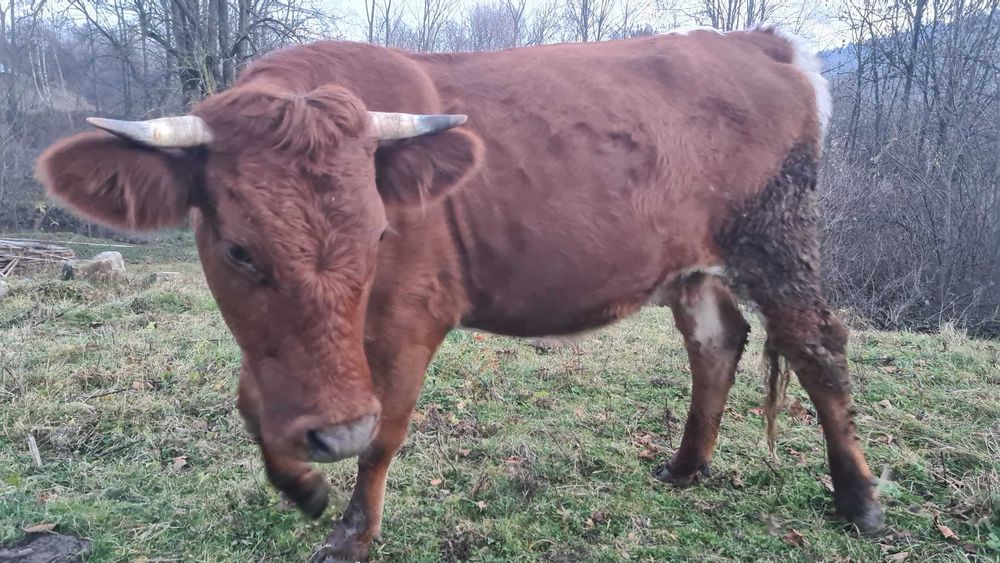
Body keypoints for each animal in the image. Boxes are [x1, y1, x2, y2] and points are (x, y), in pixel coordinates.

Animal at [36, 24, 884, 560]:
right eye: (239, 248)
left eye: (381, 232)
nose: (331, 434)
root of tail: (752, 40)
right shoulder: (283, 355)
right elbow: (255, 400)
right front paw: (302, 484)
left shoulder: (410, 317)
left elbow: (383, 430)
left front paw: (351, 533)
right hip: (692, 262)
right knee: (716, 342)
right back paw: (685, 465)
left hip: (775, 235)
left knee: (819, 345)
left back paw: (858, 500)